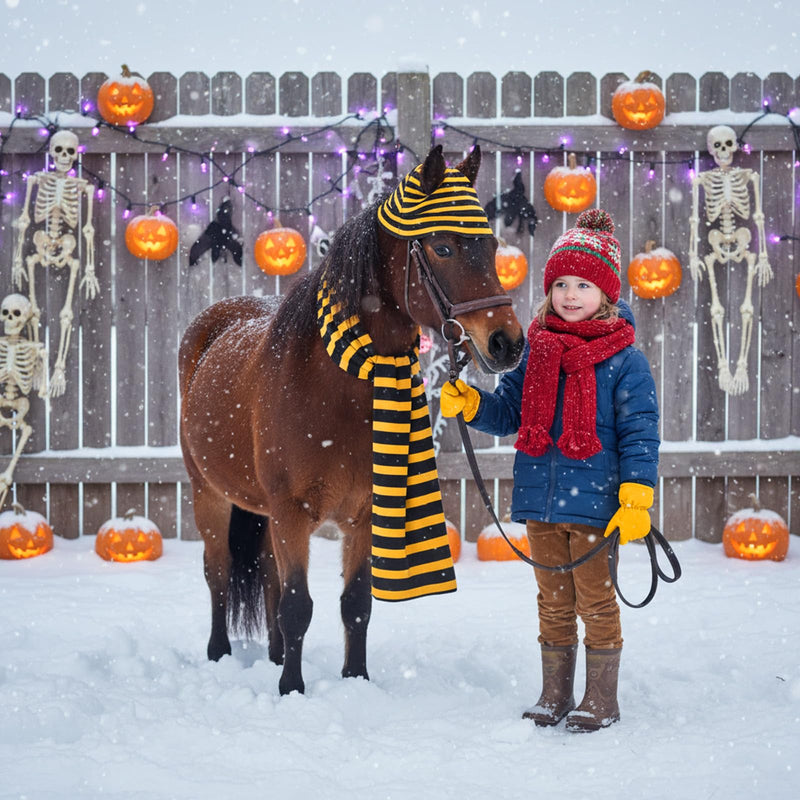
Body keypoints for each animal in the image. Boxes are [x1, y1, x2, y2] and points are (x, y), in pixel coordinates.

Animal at [178, 144, 525, 695]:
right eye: (443, 248)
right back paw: (220, 655)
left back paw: (273, 656)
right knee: (218, 572)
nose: (506, 343)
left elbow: (355, 604)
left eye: (491, 246)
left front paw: (355, 679)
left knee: (269, 577)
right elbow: (299, 606)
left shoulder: (363, 513)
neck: (341, 381)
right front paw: (292, 690)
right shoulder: (292, 512)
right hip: (208, 494)